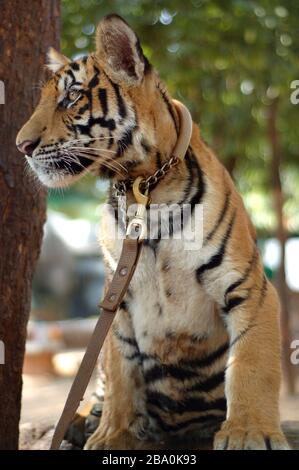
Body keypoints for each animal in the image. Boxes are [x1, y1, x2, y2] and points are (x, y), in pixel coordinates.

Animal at [16, 12, 290, 450]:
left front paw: (251, 432)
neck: (143, 184)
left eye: (72, 97)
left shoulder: (249, 287)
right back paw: (83, 420)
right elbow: (120, 374)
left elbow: (250, 364)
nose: (21, 146)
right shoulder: (116, 296)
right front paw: (112, 434)